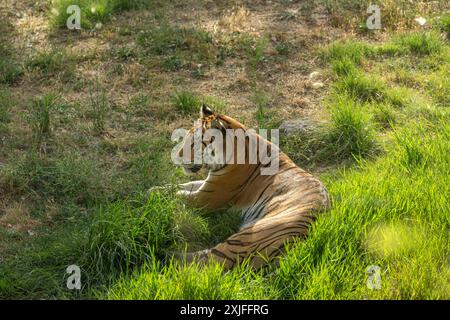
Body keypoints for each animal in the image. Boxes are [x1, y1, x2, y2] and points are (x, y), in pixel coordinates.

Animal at [171, 105, 328, 270]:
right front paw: (161, 188)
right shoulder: (207, 185)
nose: (177, 157)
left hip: (252, 235)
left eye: (194, 143)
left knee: (208, 260)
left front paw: (161, 198)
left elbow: (176, 194)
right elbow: (179, 186)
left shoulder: (206, 197)